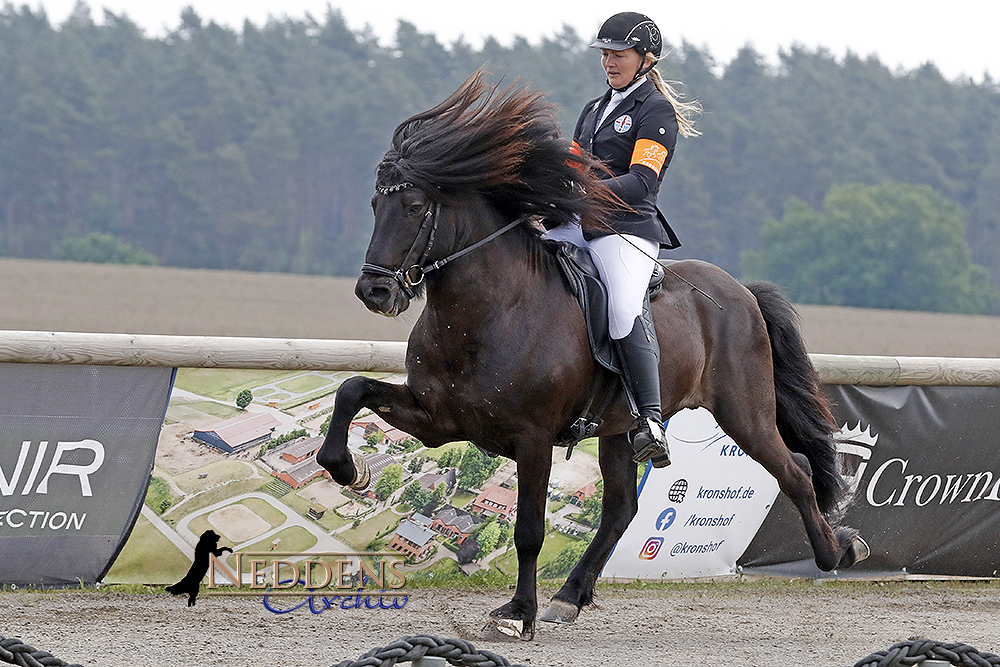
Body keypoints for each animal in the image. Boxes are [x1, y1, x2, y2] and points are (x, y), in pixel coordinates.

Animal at [316, 70, 864, 640]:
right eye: (374, 206)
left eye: (416, 206)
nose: (375, 292)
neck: (490, 310)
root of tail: (742, 292)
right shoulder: (438, 418)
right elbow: (352, 389)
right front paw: (351, 470)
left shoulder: (532, 438)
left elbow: (529, 530)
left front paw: (517, 613)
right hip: (622, 428)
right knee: (622, 508)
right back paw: (568, 598)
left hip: (744, 412)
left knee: (795, 470)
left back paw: (838, 552)